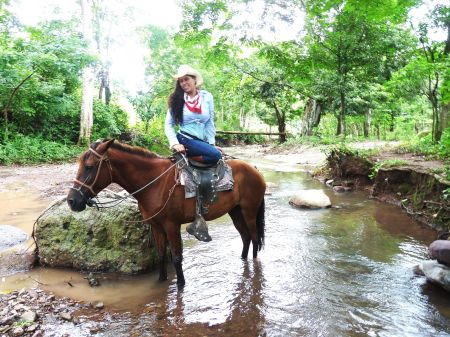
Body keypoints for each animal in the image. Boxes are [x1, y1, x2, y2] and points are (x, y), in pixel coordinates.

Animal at [65, 138, 266, 286]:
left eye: (89, 166)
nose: (72, 201)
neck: (154, 183)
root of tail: (256, 171)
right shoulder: (156, 226)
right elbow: (161, 255)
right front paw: (161, 281)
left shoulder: (171, 225)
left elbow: (176, 257)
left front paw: (180, 285)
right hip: (236, 212)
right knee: (246, 237)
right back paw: (242, 260)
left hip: (249, 212)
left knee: (255, 238)